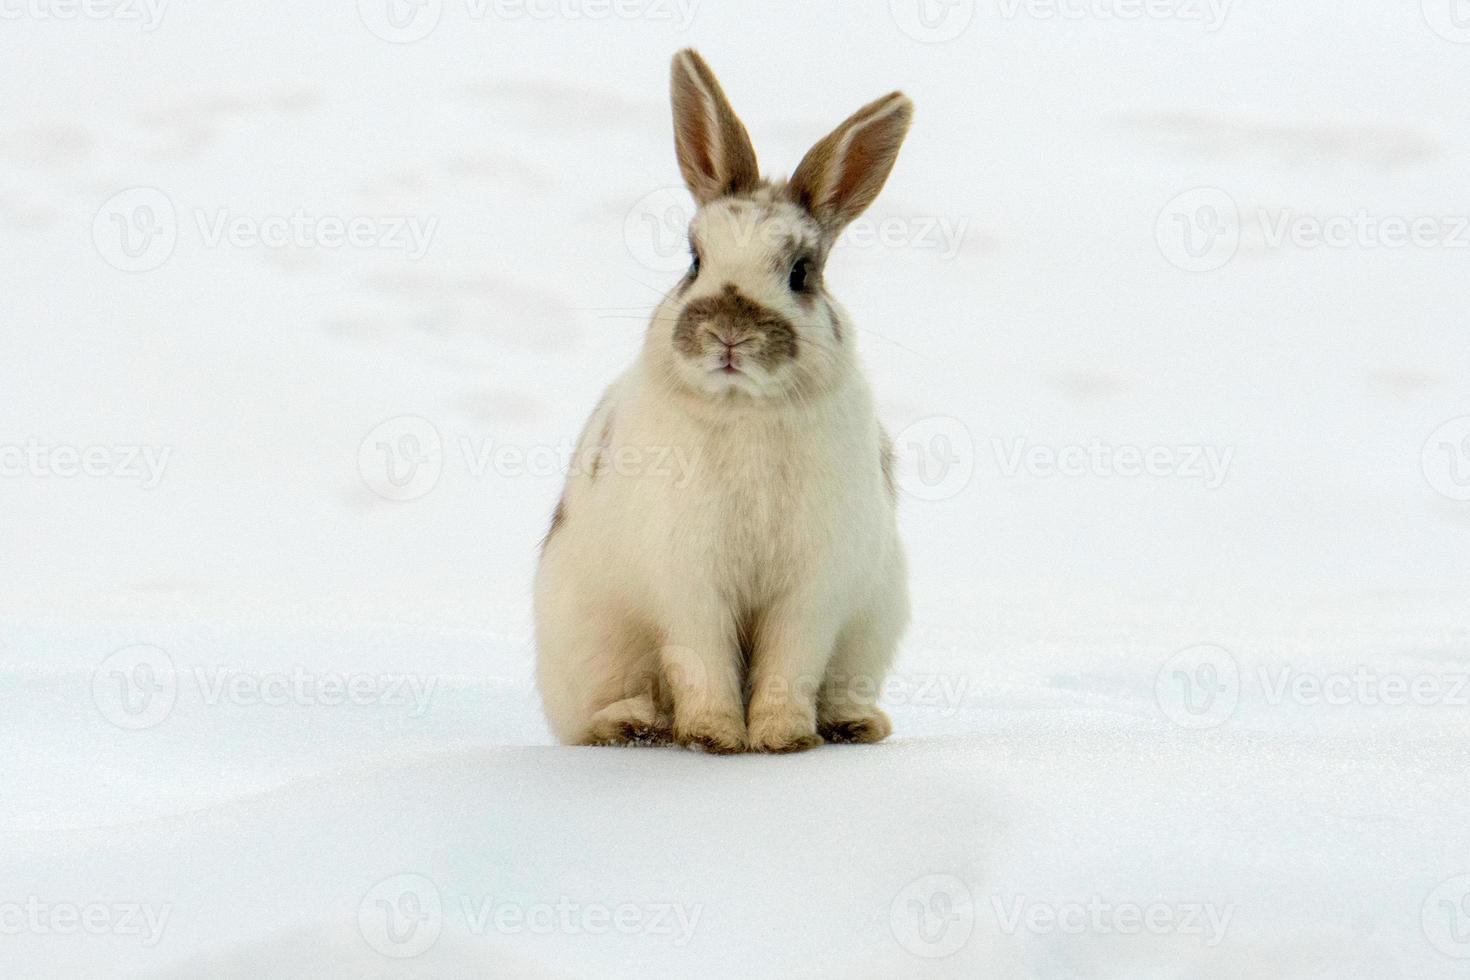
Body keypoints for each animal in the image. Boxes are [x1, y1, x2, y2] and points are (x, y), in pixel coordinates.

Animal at [535, 47, 911, 758]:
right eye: (693, 259)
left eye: (801, 273)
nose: (728, 333)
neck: (744, 411)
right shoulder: (687, 578)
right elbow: (701, 659)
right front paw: (715, 737)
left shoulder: (813, 586)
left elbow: (791, 663)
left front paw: (782, 738)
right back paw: (633, 725)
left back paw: (855, 724)